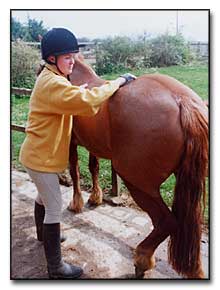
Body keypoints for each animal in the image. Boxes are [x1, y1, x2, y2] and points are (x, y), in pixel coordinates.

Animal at [68, 53, 209, 278]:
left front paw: (76, 203)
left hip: (137, 183)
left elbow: (74, 171)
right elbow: (93, 167)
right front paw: (95, 197)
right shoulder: (92, 144)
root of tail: (182, 101)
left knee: (167, 222)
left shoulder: (71, 142)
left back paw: (142, 260)